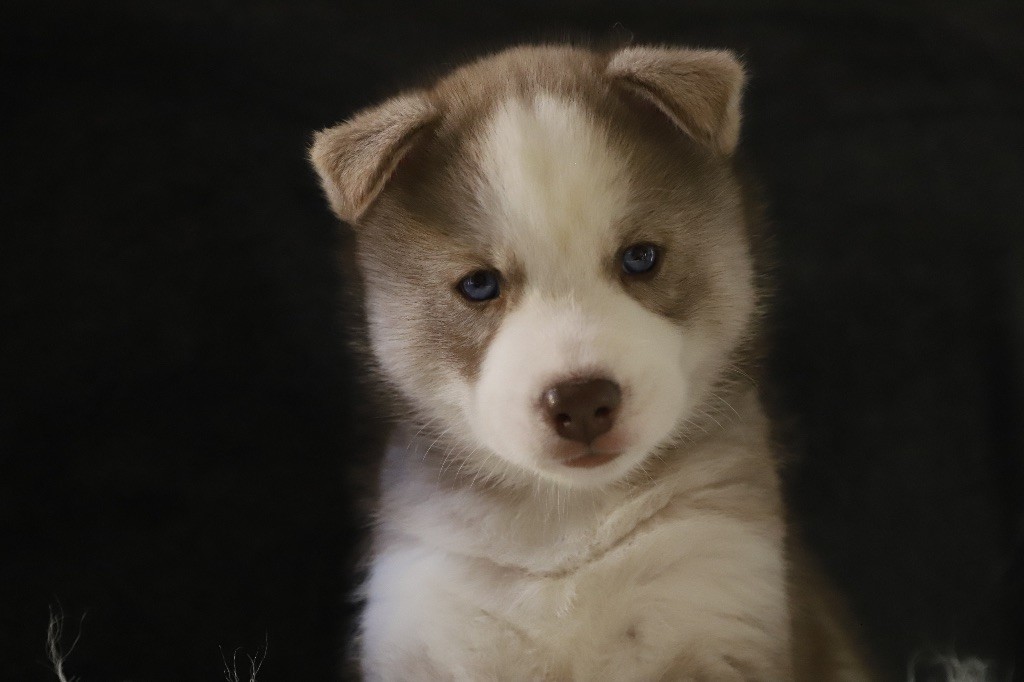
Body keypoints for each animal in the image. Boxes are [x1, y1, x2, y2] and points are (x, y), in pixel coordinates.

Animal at [311, 43, 873, 681]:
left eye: (641, 257)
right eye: (479, 285)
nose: (581, 402)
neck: (566, 522)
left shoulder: (717, 600)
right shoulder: (431, 626)